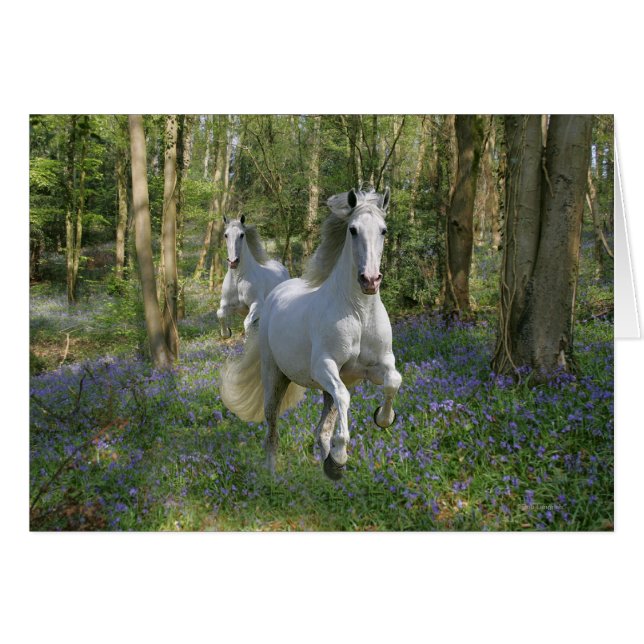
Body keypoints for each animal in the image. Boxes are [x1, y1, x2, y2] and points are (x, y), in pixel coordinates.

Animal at [220, 188, 402, 480]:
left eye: (383, 230)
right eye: (352, 230)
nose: (370, 281)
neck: (359, 313)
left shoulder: (376, 366)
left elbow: (393, 381)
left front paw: (383, 418)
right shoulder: (324, 366)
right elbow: (345, 397)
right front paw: (340, 458)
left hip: (325, 385)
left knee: (322, 427)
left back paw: (324, 460)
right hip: (275, 375)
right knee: (272, 425)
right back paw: (273, 473)